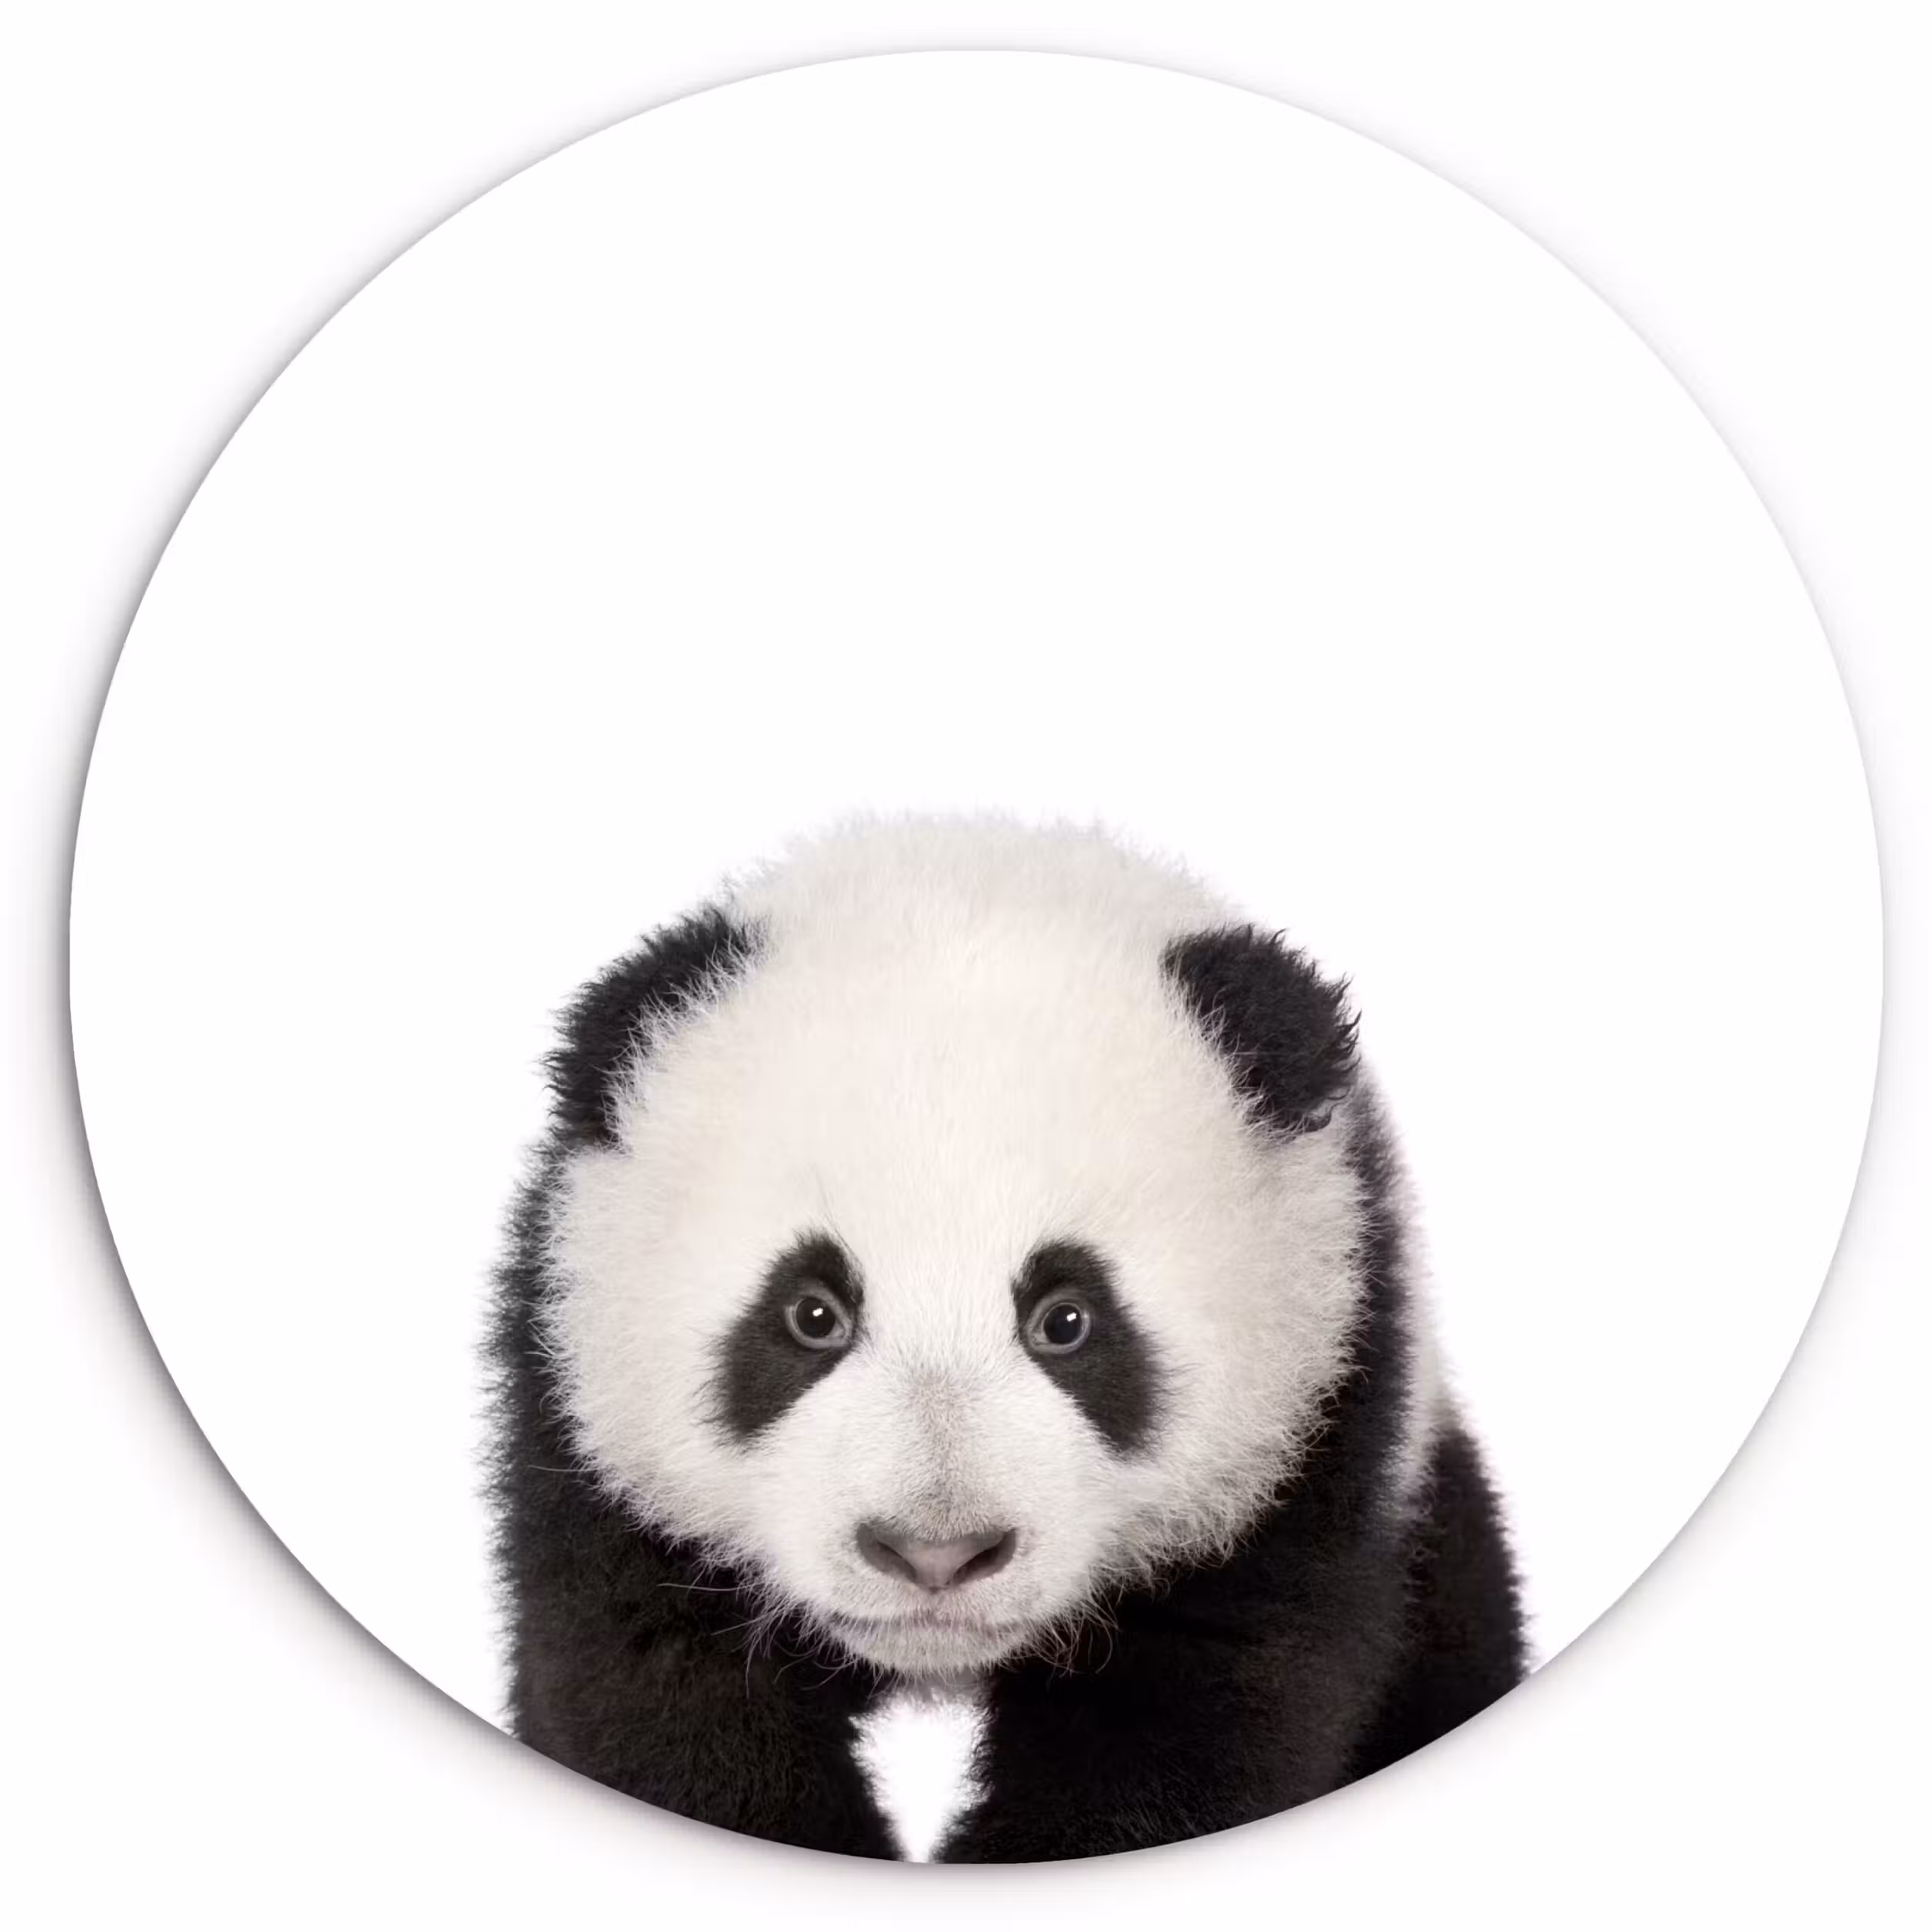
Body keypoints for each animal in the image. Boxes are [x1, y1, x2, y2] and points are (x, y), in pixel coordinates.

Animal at [485, 814, 1527, 1861]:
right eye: (811, 1314)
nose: (935, 1555)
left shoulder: (1320, 1420)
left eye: (1066, 1320)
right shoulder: (585, 1424)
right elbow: (659, 1679)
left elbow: (1198, 1710)